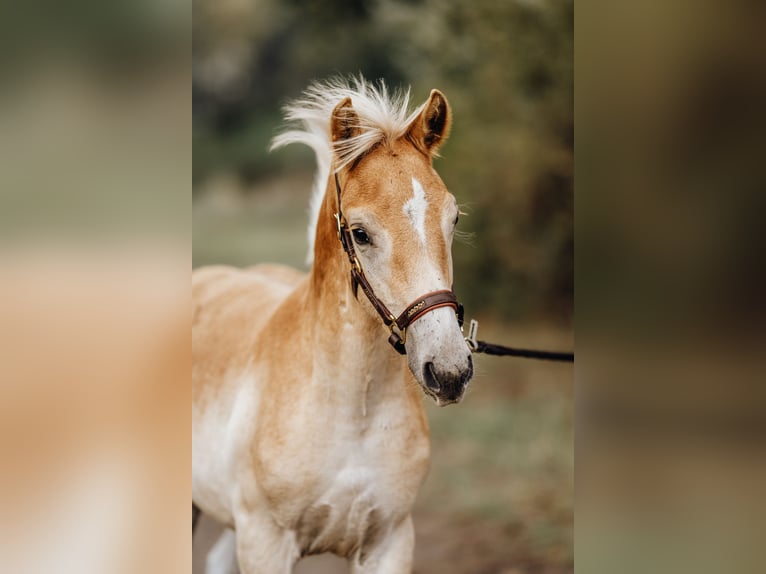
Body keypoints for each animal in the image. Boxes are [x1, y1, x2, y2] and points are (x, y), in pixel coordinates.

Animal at [192, 77, 476, 574]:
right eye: (360, 233)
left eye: (453, 217)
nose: (449, 371)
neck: (350, 408)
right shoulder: (265, 544)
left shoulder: (389, 542)